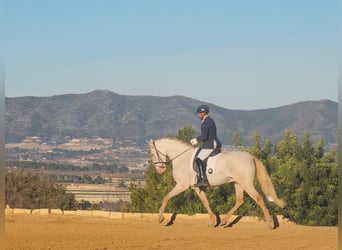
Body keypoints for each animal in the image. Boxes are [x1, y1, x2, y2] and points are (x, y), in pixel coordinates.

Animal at [147, 137, 286, 229]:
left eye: (153, 154)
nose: (160, 170)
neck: (182, 158)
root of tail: (251, 157)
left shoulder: (182, 185)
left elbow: (166, 197)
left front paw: (160, 218)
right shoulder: (197, 188)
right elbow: (205, 202)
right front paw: (212, 221)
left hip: (246, 183)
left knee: (258, 198)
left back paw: (269, 224)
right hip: (238, 183)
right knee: (240, 200)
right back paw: (224, 221)